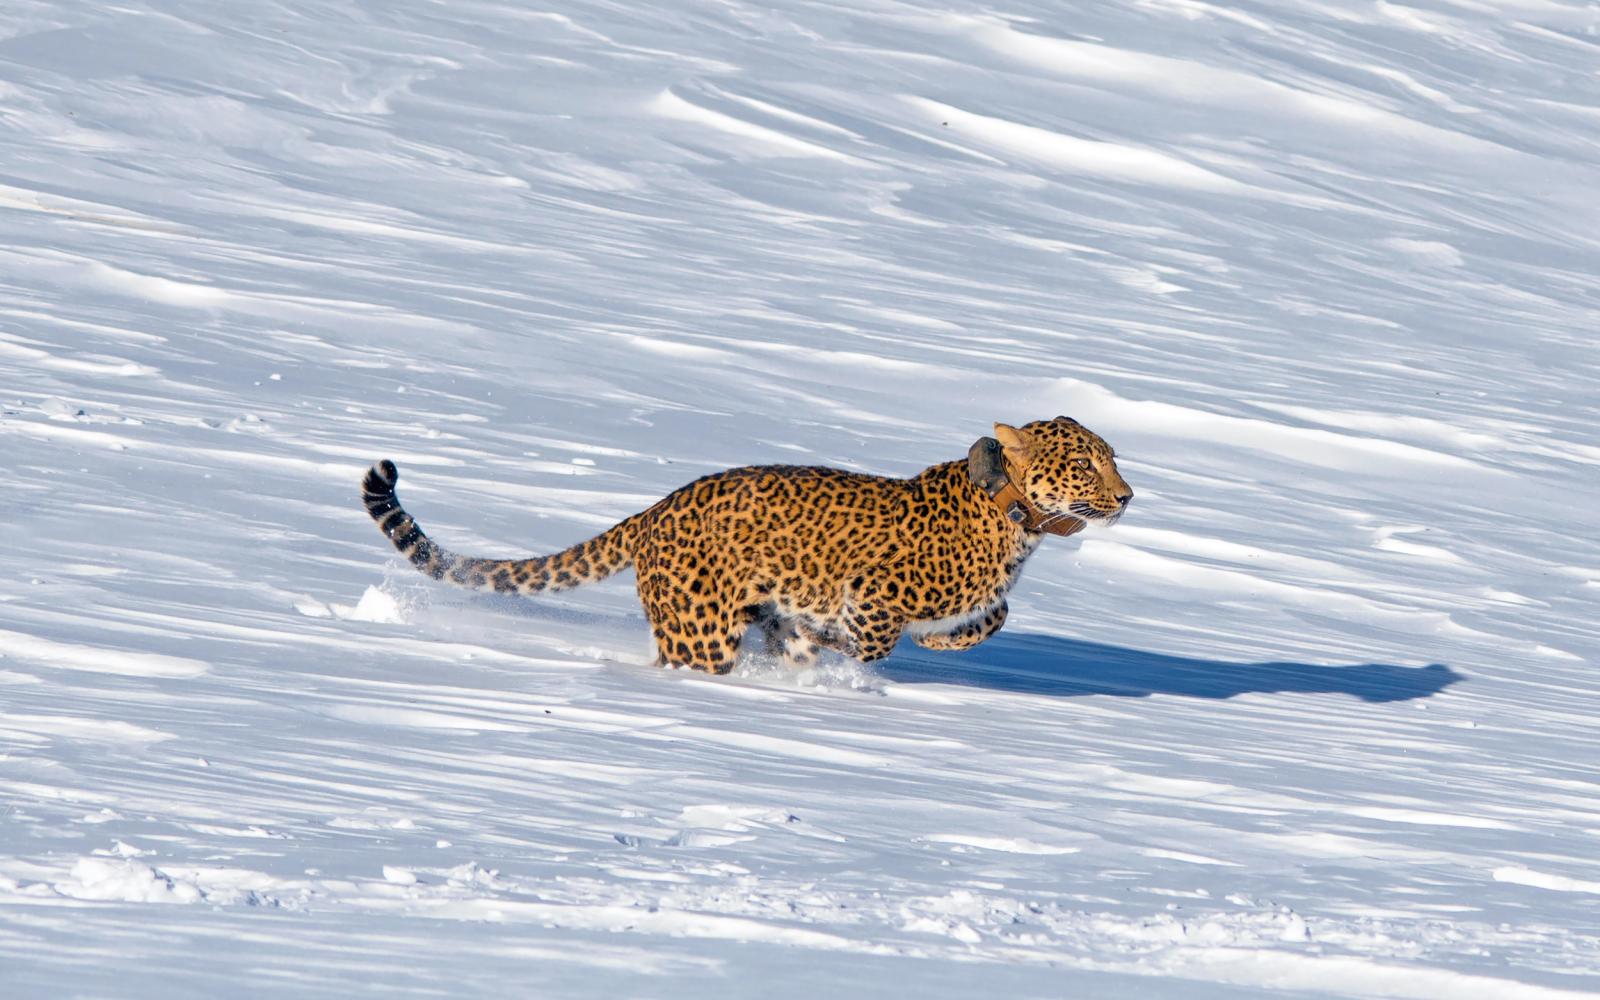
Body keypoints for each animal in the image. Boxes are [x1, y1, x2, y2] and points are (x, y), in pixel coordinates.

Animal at [363, 412, 1139, 672]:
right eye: (1087, 462)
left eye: (1112, 459)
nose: (1128, 495)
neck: (1015, 520)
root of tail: (656, 509)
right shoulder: (873, 593)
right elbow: (873, 639)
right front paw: (840, 661)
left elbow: (997, 612)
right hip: (699, 633)